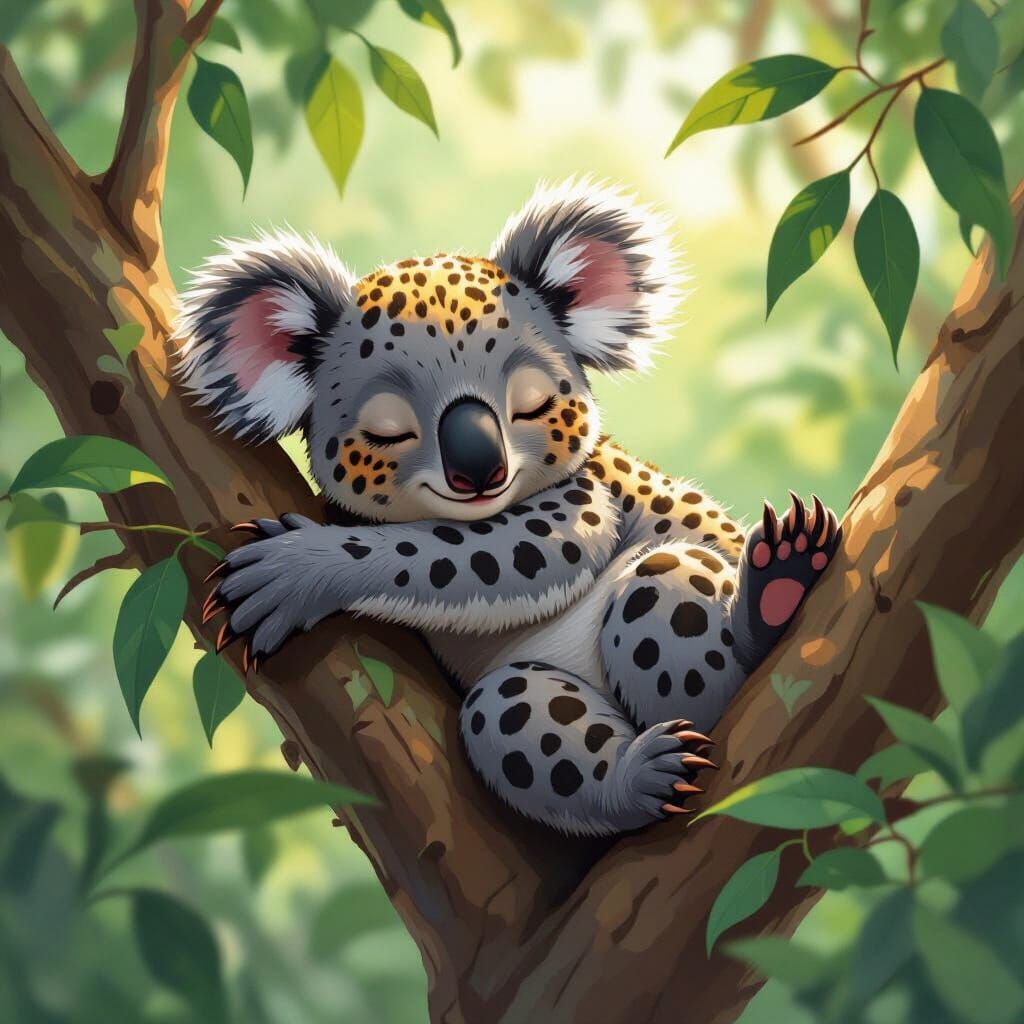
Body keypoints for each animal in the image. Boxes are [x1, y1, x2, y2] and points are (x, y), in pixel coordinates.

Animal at [176, 178, 841, 836]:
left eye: (531, 403)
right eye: (389, 431)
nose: (479, 470)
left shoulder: (579, 499)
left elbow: (460, 553)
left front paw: (289, 572)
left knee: (675, 596)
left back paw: (770, 594)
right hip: (525, 706)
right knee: (508, 710)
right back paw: (643, 775)